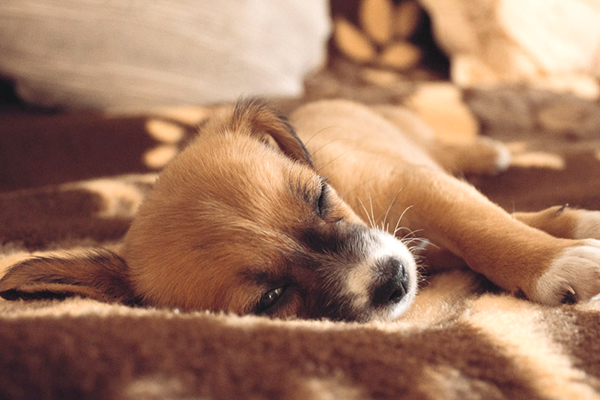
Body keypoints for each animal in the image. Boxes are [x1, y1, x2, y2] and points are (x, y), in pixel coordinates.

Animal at [1, 100, 600, 322]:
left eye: (320, 197)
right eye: (271, 297)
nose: (393, 281)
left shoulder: (416, 182)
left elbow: (485, 225)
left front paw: (559, 256)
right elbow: (495, 224)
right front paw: (569, 234)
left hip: (418, 140)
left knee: (447, 149)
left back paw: (488, 150)